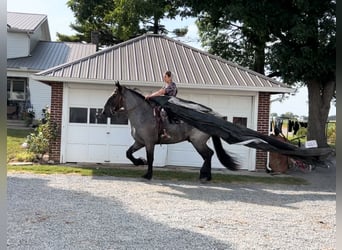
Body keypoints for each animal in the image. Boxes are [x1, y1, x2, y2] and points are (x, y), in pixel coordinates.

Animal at [99, 81, 238, 181]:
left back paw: (205, 175)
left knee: (208, 154)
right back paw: (206, 176)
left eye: (114, 95)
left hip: (198, 142)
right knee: (208, 155)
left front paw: (148, 175)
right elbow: (128, 153)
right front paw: (139, 162)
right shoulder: (139, 142)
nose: (104, 112)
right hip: (198, 142)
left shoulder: (149, 143)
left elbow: (151, 158)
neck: (142, 114)